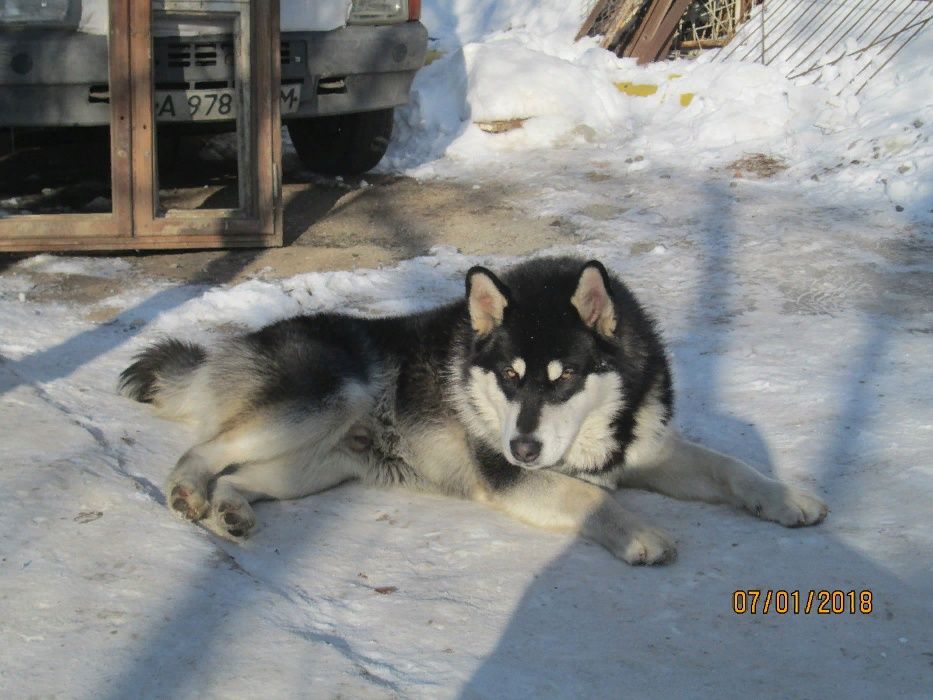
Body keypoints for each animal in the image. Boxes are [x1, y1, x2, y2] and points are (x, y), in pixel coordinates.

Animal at [120, 256, 828, 564]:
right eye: (510, 377)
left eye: (565, 377)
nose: (523, 446)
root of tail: (241, 343)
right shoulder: (512, 478)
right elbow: (587, 498)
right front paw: (638, 532)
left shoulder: (649, 447)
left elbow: (729, 467)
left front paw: (786, 497)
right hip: (326, 398)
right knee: (204, 449)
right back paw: (188, 491)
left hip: (316, 466)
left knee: (241, 474)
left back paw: (232, 508)